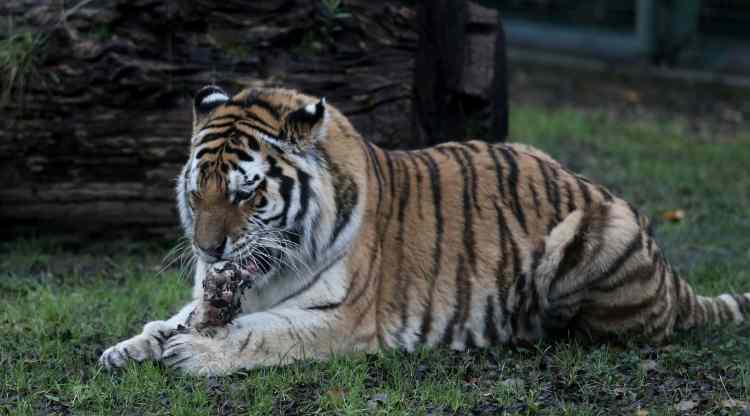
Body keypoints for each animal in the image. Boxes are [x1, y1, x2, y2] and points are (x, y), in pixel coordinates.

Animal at [100, 85, 750, 376]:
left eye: (245, 193)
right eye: (197, 192)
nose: (208, 250)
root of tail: (671, 278)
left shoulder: (343, 318)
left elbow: (256, 335)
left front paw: (194, 351)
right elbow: (172, 319)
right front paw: (126, 347)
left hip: (592, 235)